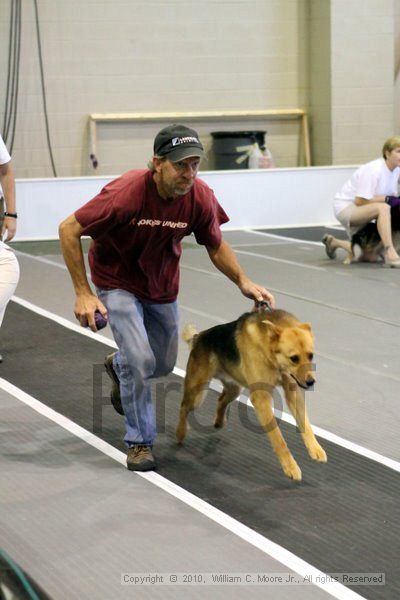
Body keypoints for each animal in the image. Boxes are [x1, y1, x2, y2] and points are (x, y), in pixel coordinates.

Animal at [177, 310, 326, 482]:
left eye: (311, 356)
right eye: (294, 358)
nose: (311, 382)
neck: (271, 356)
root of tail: (198, 337)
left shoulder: (292, 392)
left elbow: (305, 424)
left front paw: (315, 449)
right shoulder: (262, 399)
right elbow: (278, 439)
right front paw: (290, 466)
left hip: (234, 389)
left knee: (221, 400)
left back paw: (219, 421)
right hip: (197, 394)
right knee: (184, 407)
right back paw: (180, 433)